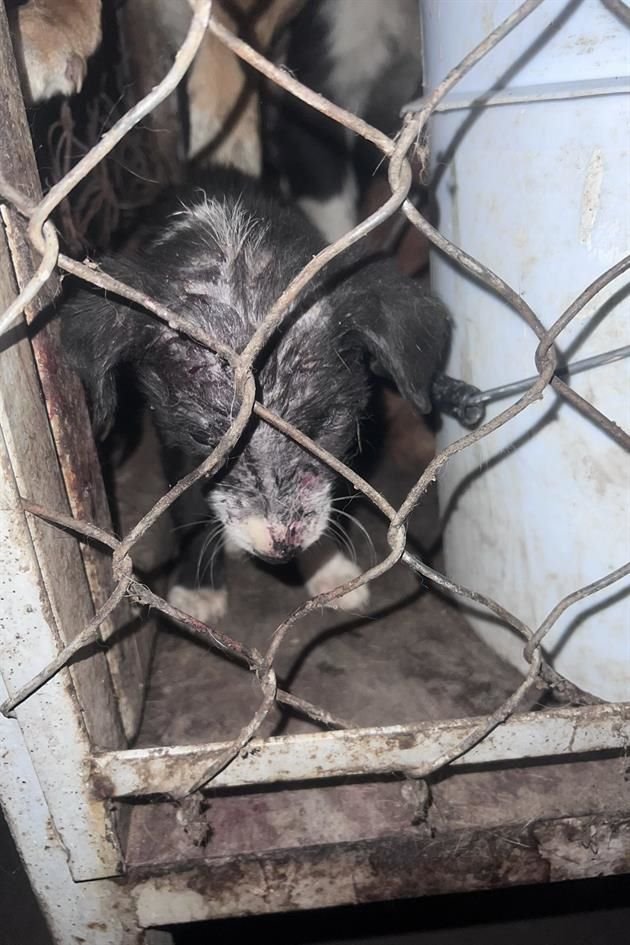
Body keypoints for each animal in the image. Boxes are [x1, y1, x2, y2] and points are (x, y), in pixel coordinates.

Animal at [61, 169, 452, 620]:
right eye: (205, 440)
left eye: (323, 428)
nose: (282, 547)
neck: (229, 227)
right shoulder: (173, 440)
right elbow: (188, 501)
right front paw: (198, 586)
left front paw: (328, 569)